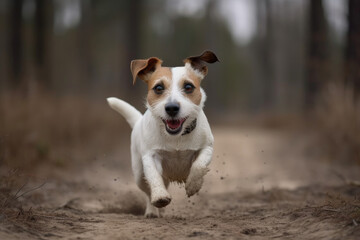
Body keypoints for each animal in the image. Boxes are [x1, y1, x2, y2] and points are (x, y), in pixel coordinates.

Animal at [107, 50, 218, 218]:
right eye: (158, 88)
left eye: (188, 86)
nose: (171, 108)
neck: (176, 137)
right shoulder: (150, 156)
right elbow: (154, 177)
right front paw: (159, 196)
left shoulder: (207, 148)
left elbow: (199, 165)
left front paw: (193, 185)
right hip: (139, 174)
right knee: (148, 191)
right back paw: (152, 210)